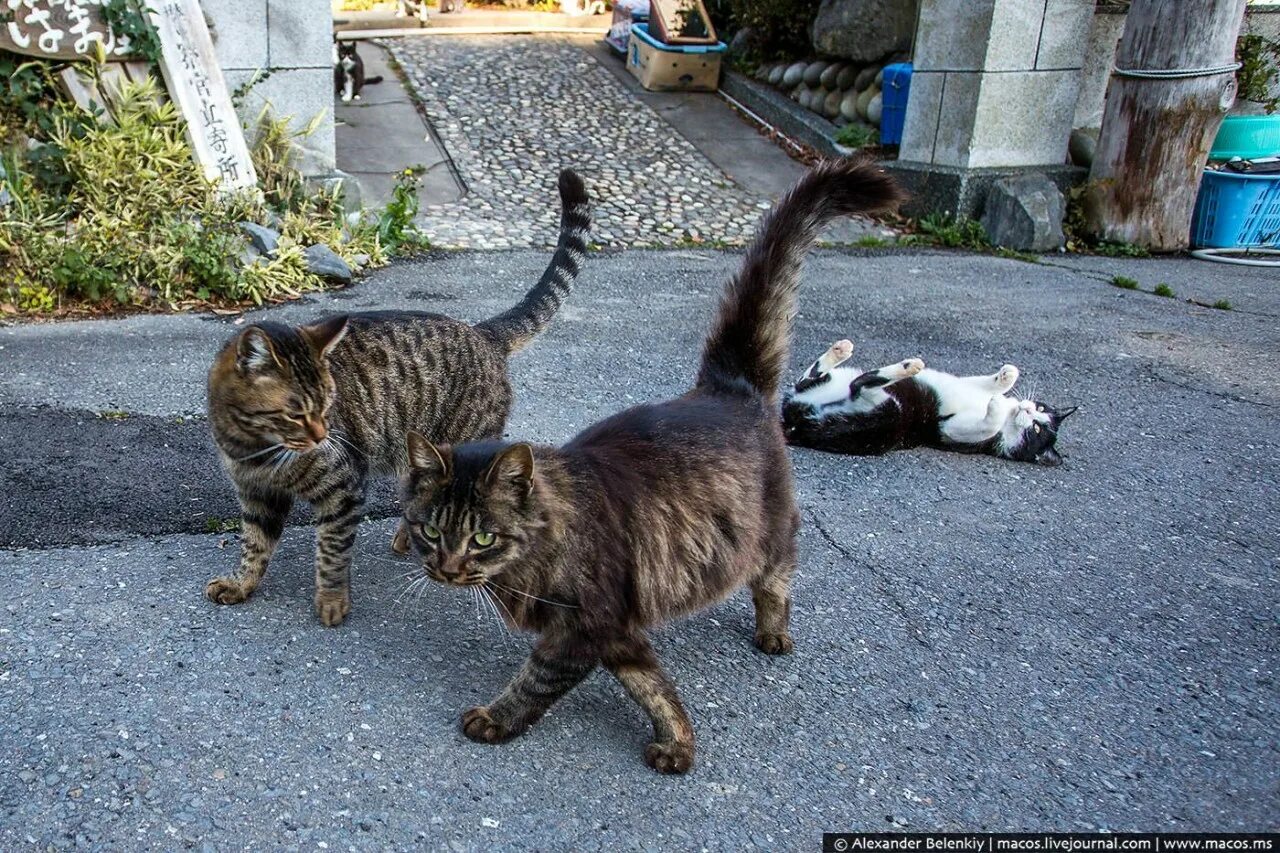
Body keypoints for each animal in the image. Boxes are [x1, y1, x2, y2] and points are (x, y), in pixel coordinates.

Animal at [207, 171, 591, 625]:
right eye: (296, 413)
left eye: (328, 405)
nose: (322, 437)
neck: (254, 448)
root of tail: (482, 332)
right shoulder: (256, 496)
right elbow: (254, 546)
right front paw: (241, 584)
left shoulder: (344, 488)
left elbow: (331, 553)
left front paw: (332, 602)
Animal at [399, 157, 901, 768]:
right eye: (430, 531)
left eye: (483, 538)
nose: (445, 569)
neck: (543, 548)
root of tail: (726, 387)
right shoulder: (617, 632)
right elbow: (652, 684)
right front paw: (677, 741)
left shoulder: (584, 629)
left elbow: (537, 681)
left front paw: (497, 719)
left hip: (768, 534)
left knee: (777, 577)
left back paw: (773, 631)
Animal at [783, 338, 1075, 466]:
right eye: (1041, 409)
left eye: (1035, 429)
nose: (1027, 408)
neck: (1007, 416)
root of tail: (797, 424)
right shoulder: (969, 385)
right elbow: (990, 383)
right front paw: (1006, 376)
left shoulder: (949, 431)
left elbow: (987, 424)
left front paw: (992, 405)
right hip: (833, 382)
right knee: (810, 378)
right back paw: (842, 350)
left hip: (888, 415)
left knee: (860, 384)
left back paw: (907, 367)